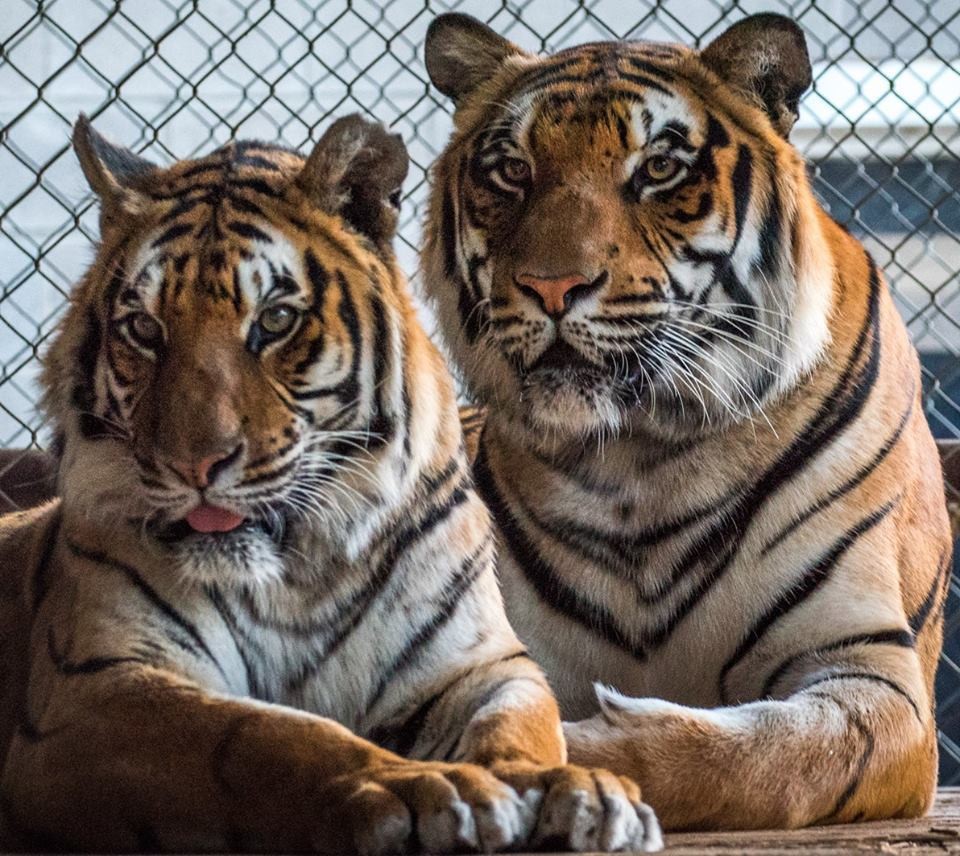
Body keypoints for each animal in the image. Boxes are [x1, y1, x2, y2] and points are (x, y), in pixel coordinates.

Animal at [0, 114, 662, 853]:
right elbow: (264, 732)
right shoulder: (95, 689)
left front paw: (573, 794)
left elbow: (519, 725)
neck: (300, 573)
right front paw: (419, 789)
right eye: (144, 328)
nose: (193, 467)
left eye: (275, 321)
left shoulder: (481, 666)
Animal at [422, 11, 955, 831]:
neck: (638, 459)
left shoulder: (866, 665)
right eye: (511, 170)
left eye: (659, 169)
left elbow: (765, 756)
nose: (551, 286)